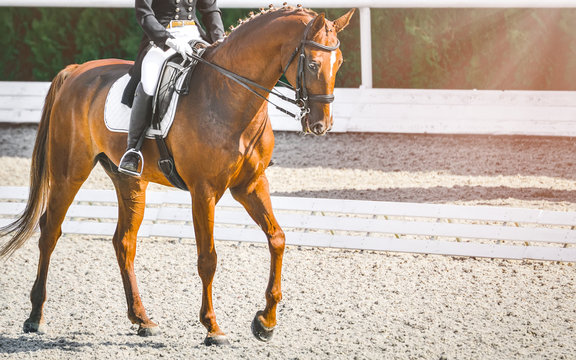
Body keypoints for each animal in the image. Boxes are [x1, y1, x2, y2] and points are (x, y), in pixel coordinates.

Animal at [0, 6, 354, 346]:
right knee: (50, 231)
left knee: (124, 242)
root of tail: (76, 70)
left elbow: (277, 239)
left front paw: (265, 322)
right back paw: (35, 317)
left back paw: (142, 320)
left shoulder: (250, 185)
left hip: (129, 181)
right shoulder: (204, 191)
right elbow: (208, 258)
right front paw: (213, 328)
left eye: (338, 63)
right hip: (68, 172)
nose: (321, 125)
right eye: (312, 64)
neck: (230, 96)